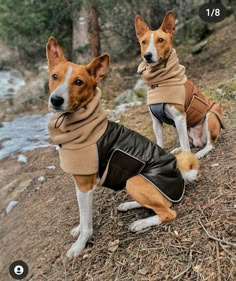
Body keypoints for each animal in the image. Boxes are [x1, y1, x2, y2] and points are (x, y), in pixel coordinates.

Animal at [45, 37, 198, 258]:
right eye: (54, 77)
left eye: (79, 82)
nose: (56, 100)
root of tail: (180, 174)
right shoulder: (80, 184)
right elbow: (83, 216)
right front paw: (78, 229)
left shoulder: (85, 184)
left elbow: (87, 222)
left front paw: (79, 245)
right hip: (132, 183)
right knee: (161, 202)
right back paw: (128, 205)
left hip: (134, 181)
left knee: (168, 211)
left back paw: (140, 223)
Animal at [136, 10, 224, 158]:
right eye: (144, 42)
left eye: (160, 40)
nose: (147, 55)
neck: (159, 81)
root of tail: (199, 140)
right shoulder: (156, 121)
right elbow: (160, 143)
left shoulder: (179, 117)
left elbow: (186, 146)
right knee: (189, 144)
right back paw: (178, 150)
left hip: (210, 116)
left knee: (209, 144)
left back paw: (199, 153)